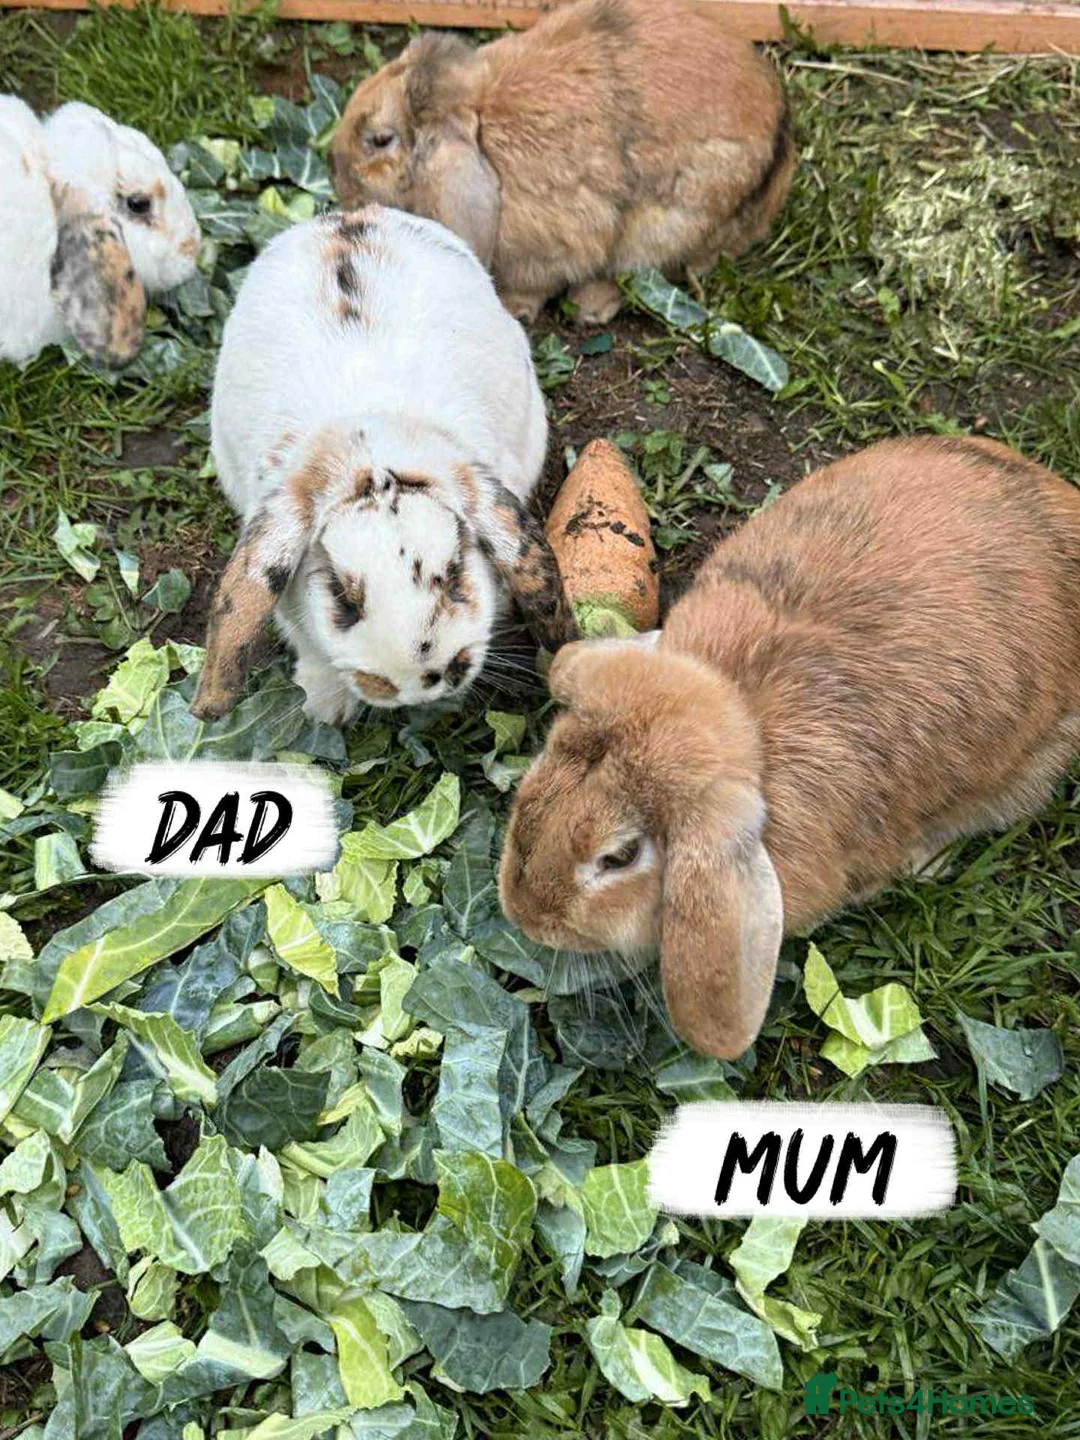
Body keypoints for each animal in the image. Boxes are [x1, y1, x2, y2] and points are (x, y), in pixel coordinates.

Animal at [191, 204, 577, 726]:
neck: (369, 448)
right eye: (342, 597)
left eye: (453, 572)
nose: (417, 683)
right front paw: (323, 708)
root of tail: (348, 217)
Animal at [329, 0, 794, 325]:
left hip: (671, 219)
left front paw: (515, 308)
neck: (477, 128)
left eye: (380, 140)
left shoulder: (553, 245)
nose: (338, 181)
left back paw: (589, 308)